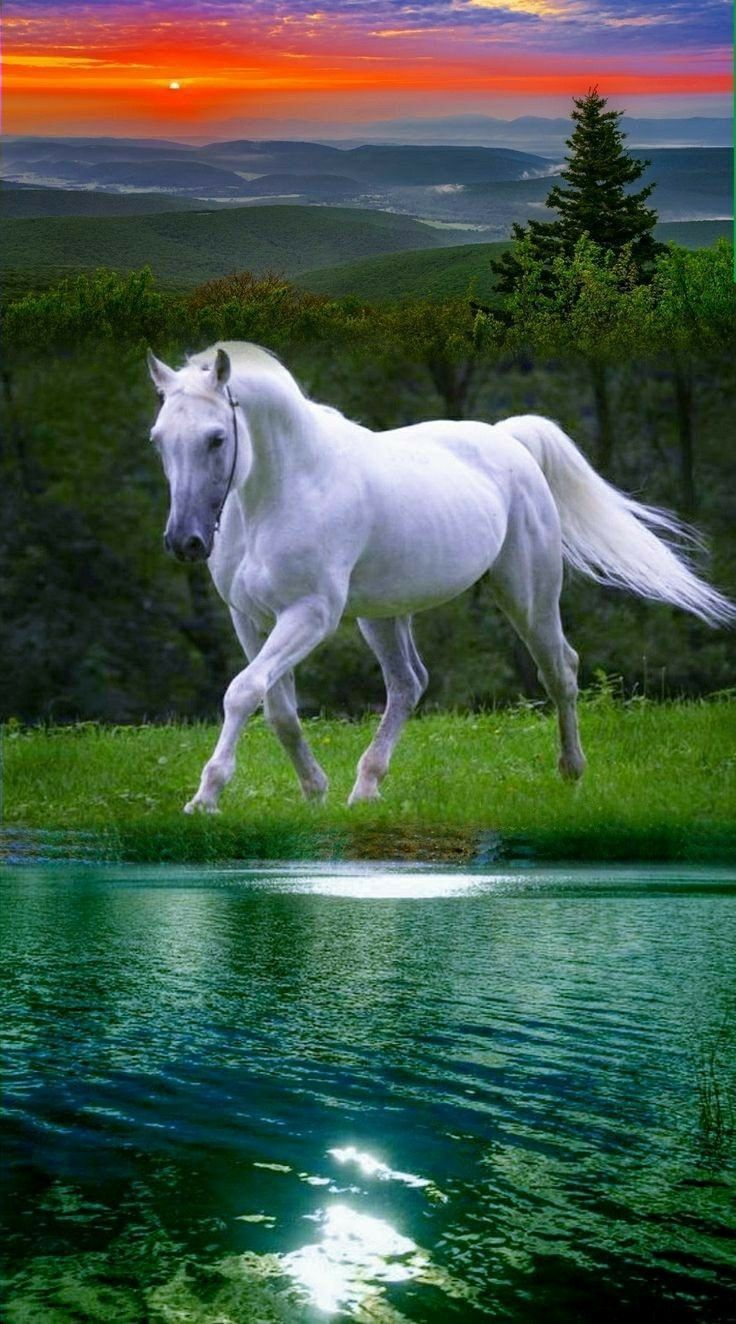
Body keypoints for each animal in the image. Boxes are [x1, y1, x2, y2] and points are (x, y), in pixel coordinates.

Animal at [146, 340, 734, 814]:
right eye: (158, 439)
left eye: (216, 438)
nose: (184, 542)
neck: (285, 488)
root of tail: (508, 439)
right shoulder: (248, 618)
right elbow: (277, 708)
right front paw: (314, 792)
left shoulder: (310, 615)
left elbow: (243, 692)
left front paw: (206, 798)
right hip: (382, 615)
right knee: (408, 684)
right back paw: (365, 790)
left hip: (527, 596)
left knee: (559, 671)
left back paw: (571, 774)